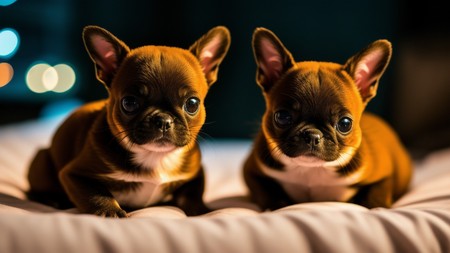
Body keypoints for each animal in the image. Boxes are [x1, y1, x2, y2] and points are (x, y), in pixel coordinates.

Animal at [27, 25, 230, 217]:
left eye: (192, 104)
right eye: (129, 103)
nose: (163, 120)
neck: (154, 157)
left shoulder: (196, 173)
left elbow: (192, 194)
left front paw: (199, 210)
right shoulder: (74, 175)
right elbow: (96, 195)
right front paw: (109, 212)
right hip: (41, 163)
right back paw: (54, 200)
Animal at [244, 26, 414, 211]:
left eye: (345, 124)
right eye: (282, 117)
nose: (312, 135)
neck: (311, 170)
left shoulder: (385, 176)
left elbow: (377, 193)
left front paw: (376, 207)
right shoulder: (251, 171)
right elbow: (266, 191)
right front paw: (278, 205)